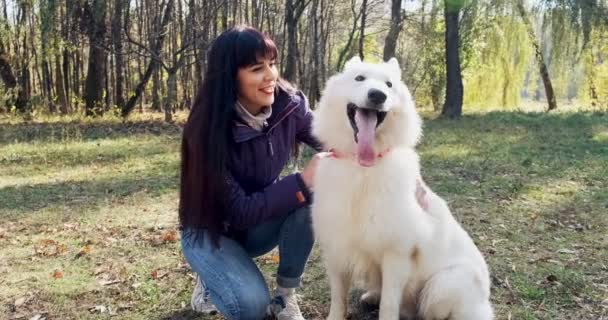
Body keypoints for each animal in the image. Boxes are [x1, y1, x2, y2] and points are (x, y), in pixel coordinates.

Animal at [312, 57, 492, 320]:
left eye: (389, 85)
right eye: (359, 78)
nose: (378, 95)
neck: (362, 167)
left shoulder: (396, 256)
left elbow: (388, 304)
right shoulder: (336, 249)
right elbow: (338, 298)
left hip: (443, 285)